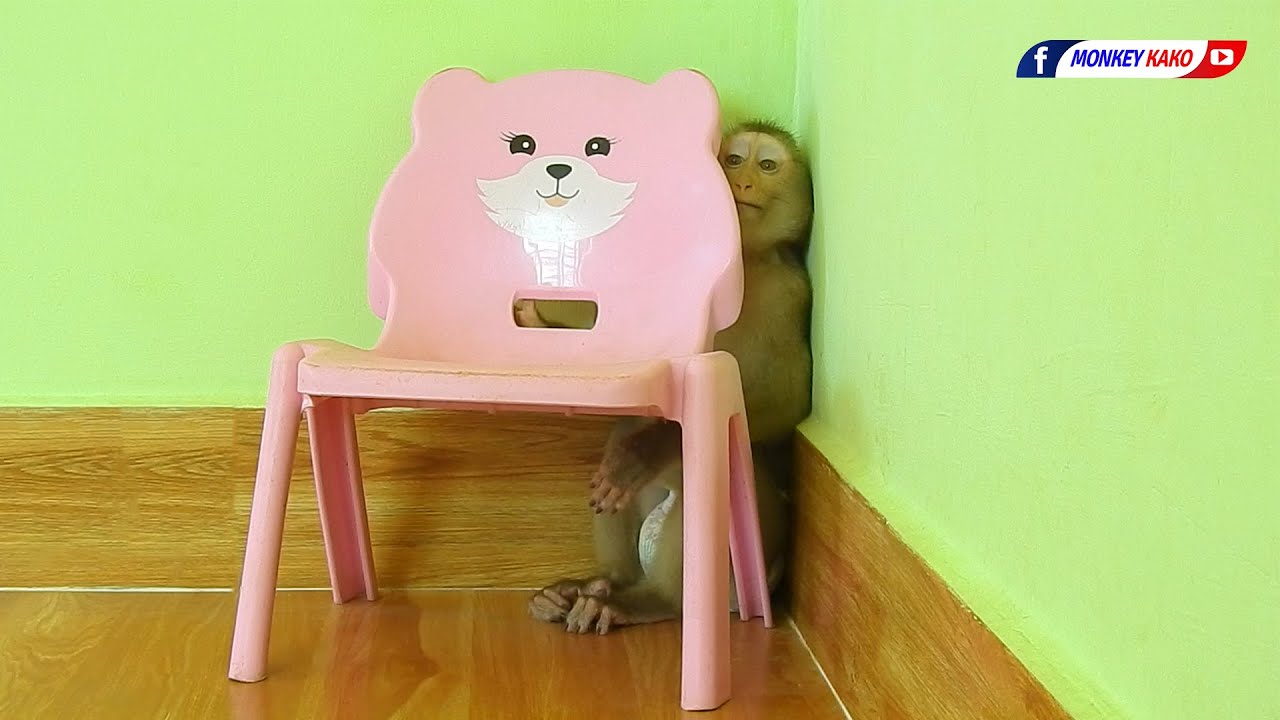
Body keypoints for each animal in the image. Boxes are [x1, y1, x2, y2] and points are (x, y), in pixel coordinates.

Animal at [523, 120, 813, 634]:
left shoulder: (790, 292)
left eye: (767, 165)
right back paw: (600, 585)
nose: (742, 183)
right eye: (734, 160)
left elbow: (787, 403)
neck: (743, 264)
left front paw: (650, 449)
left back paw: (651, 600)